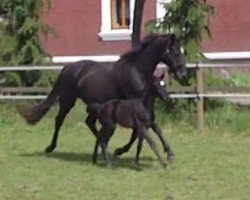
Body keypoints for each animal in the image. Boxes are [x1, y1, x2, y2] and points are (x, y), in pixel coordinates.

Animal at [19, 33, 186, 164]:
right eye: (175, 52)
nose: (183, 74)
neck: (136, 70)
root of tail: (67, 67)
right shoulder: (134, 105)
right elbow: (142, 130)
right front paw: (121, 150)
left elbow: (151, 128)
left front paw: (170, 154)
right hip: (68, 100)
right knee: (59, 120)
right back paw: (51, 147)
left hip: (93, 104)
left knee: (90, 123)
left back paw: (101, 149)